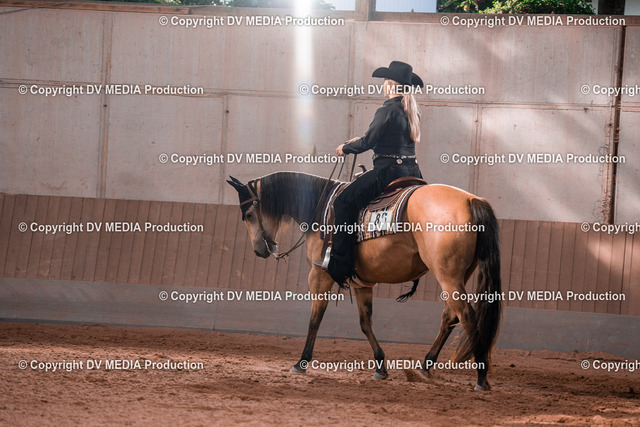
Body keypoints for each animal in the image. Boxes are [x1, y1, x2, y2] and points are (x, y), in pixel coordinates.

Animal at [227, 171, 502, 391]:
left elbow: (315, 318)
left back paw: (480, 377)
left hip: (448, 277)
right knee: (449, 317)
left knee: (467, 316)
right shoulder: (362, 284)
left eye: (248, 214)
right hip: (457, 276)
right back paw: (425, 366)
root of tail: (470, 200)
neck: (320, 206)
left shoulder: (319, 275)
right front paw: (380, 366)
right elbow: (365, 323)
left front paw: (301, 362)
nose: (259, 251)